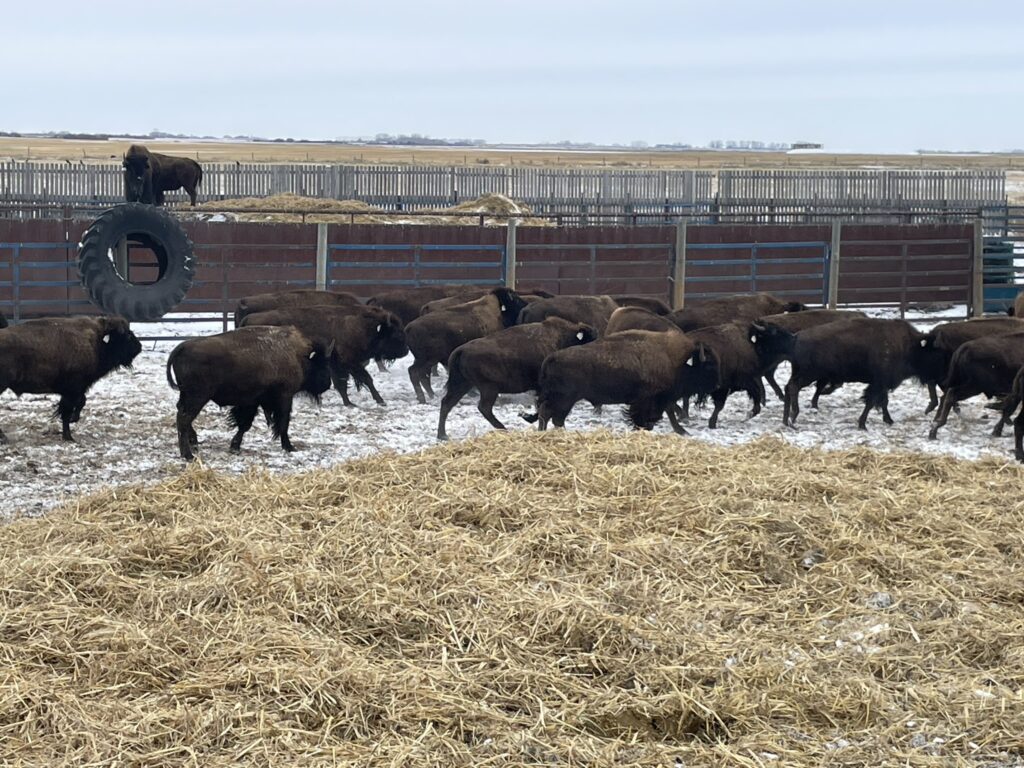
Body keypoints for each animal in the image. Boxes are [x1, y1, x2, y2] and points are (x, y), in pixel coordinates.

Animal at [0, 316, 141, 443]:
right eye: (127, 335)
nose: (139, 347)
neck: (96, 341)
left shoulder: (75, 390)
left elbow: (80, 402)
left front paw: (73, 421)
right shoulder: (72, 390)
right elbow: (67, 411)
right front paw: (69, 436)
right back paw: (4, 438)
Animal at [166, 325, 333, 460]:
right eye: (322, 363)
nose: (328, 384)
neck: (297, 355)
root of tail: (182, 346)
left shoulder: (252, 402)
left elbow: (245, 424)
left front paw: (235, 446)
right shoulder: (284, 398)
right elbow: (283, 423)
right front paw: (289, 447)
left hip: (187, 396)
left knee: (181, 414)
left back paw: (194, 444)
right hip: (197, 397)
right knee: (183, 419)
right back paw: (188, 455)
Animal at [437, 316, 596, 440]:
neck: (563, 338)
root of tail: (461, 350)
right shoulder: (543, 388)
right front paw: (528, 418)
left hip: (463, 384)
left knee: (447, 403)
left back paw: (443, 435)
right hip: (488, 388)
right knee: (483, 407)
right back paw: (504, 429)